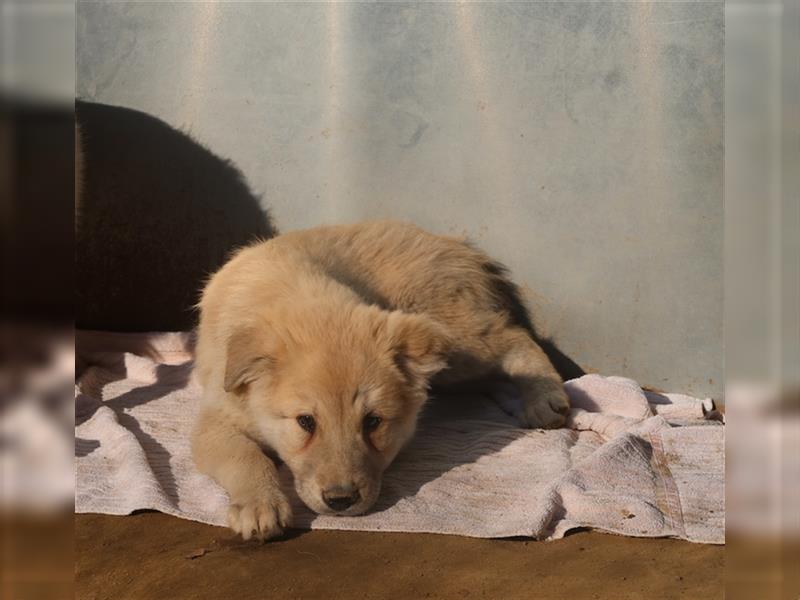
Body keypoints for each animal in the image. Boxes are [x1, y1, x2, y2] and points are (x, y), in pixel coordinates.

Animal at [192, 220, 568, 540]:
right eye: (305, 422)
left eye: (373, 422)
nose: (340, 501)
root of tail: (457, 246)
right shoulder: (216, 421)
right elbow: (245, 458)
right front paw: (260, 504)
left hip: (457, 341)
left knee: (515, 338)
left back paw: (544, 399)